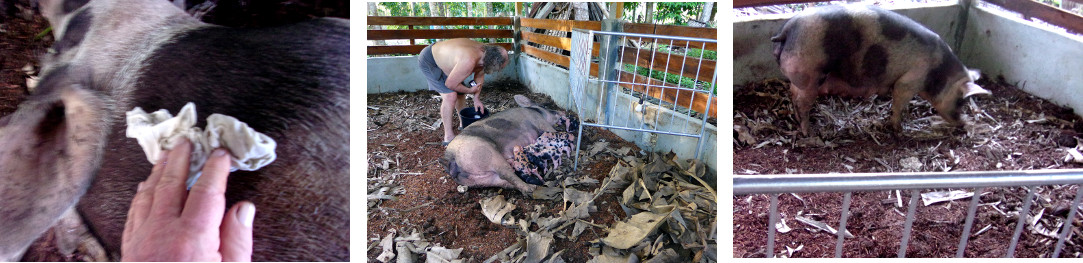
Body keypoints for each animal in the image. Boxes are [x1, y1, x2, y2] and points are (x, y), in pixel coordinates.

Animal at [441, 94, 576, 192]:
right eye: (545, 105)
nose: (562, 112)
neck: (537, 111)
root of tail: (450, 159)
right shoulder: (542, 122)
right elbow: (555, 131)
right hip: (488, 154)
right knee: (507, 173)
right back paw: (532, 188)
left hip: (479, 180)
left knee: (505, 182)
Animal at [771, 5, 992, 134]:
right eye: (961, 101)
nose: (963, 124)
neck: (938, 74)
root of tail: (787, 30)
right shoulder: (908, 81)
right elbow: (899, 103)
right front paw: (898, 129)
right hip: (808, 74)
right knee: (801, 102)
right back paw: (809, 132)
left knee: (793, 95)